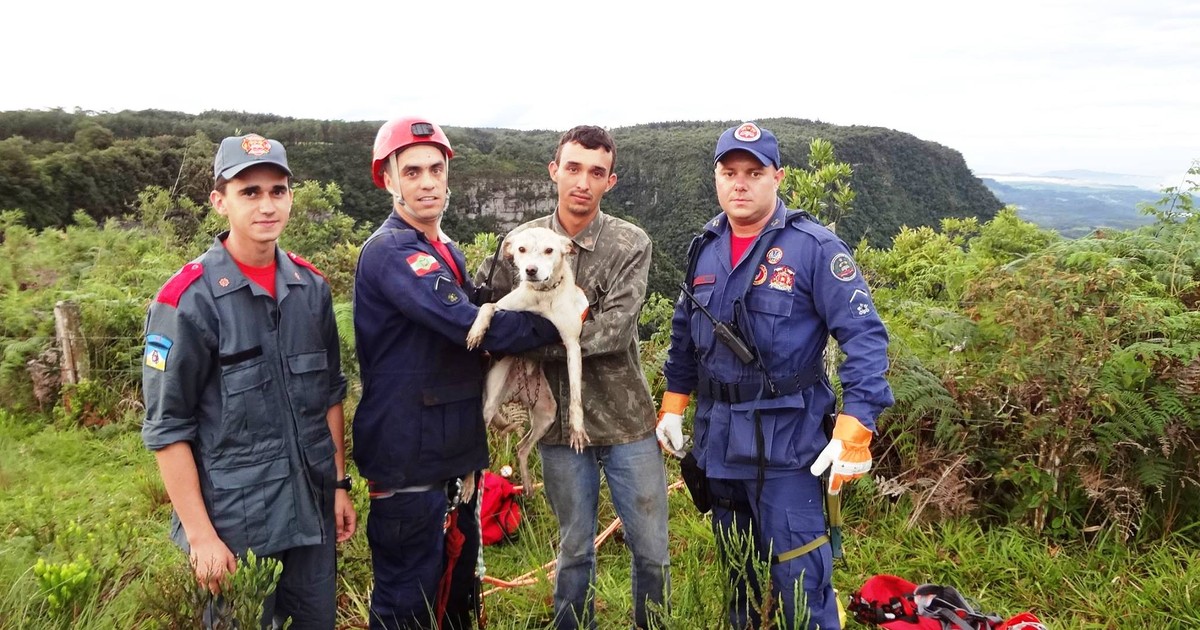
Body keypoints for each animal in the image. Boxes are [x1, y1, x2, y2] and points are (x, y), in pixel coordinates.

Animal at [465, 226, 588, 487]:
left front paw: (577, 428)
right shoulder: (504, 306)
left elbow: (575, 397)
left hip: (548, 413)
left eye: (549, 250)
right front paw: (476, 332)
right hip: (489, 403)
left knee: (522, 447)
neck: (543, 296)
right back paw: (471, 484)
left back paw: (528, 485)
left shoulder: (572, 343)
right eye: (521, 249)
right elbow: (487, 307)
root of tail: (518, 393)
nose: (530, 270)